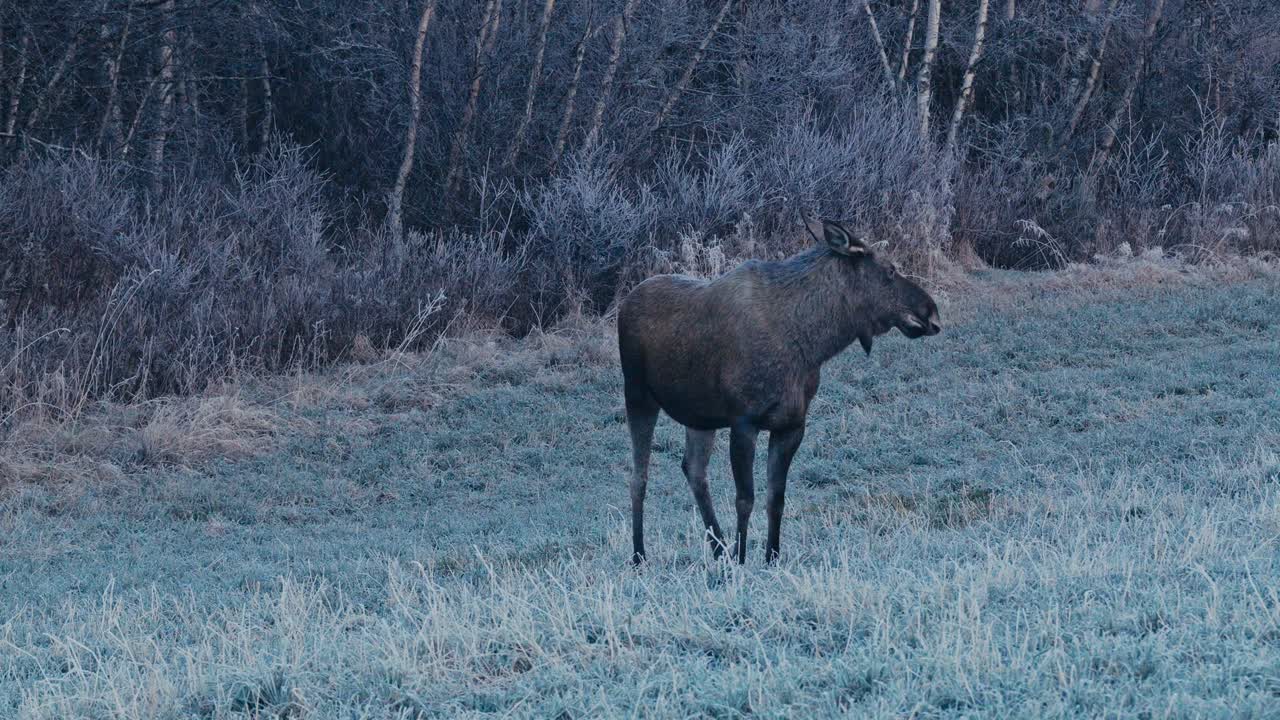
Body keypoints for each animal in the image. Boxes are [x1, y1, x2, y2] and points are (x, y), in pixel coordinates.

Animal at [616, 216, 942, 565]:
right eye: (890, 270)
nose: (932, 314)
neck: (810, 345)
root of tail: (625, 302)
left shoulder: (791, 425)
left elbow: (776, 497)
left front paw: (771, 557)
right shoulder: (744, 422)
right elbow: (745, 498)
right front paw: (742, 559)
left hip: (699, 416)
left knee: (693, 469)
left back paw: (719, 549)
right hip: (637, 394)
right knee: (639, 476)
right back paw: (640, 555)